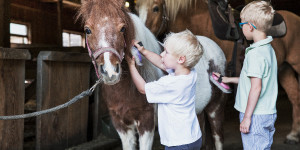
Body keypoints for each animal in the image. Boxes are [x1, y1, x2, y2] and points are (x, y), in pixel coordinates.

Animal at [77, 0, 227, 150]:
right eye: (87, 30)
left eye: (123, 28)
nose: (110, 72)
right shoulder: (121, 125)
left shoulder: (146, 122)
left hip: (216, 109)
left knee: (218, 138)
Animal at [137, 0, 300, 146]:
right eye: (137, 8)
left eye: (156, 8)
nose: (144, 36)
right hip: (284, 70)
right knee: (294, 96)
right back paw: (293, 135)